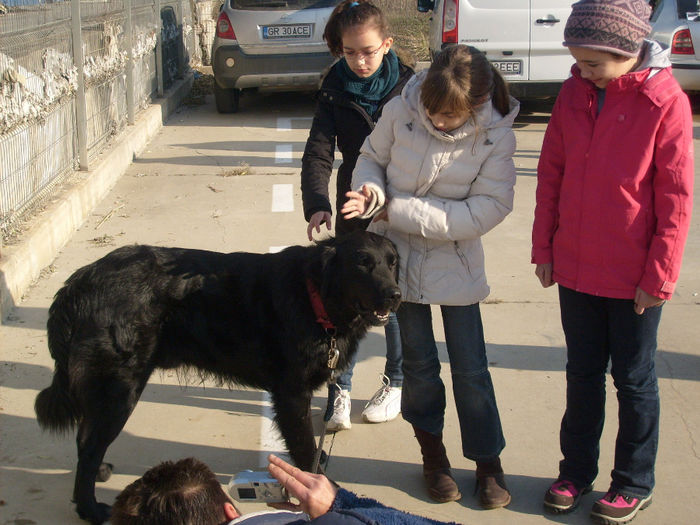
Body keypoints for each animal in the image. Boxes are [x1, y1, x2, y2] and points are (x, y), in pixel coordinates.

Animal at [35, 231, 402, 520]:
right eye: (362, 263)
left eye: (393, 262)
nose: (396, 295)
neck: (315, 298)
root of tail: (80, 281)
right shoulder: (291, 392)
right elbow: (303, 446)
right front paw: (324, 490)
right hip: (120, 388)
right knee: (89, 444)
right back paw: (90, 509)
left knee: (86, 437)